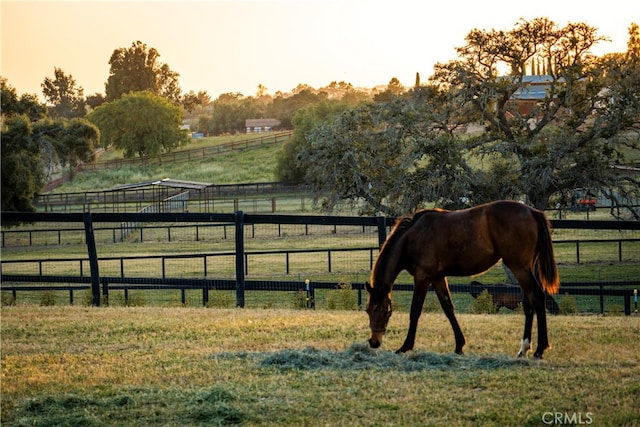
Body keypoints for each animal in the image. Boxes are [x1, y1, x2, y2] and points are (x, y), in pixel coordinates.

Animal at [364, 201, 560, 358]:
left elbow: (415, 311)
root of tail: (532, 211)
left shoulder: (422, 278)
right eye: (367, 310)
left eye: (385, 311)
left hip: (519, 268)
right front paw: (459, 345)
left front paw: (405, 346)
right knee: (529, 304)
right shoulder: (437, 278)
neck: (413, 236)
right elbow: (448, 308)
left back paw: (540, 349)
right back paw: (524, 348)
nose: (374, 342)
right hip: (526, 269)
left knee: (538, 298)